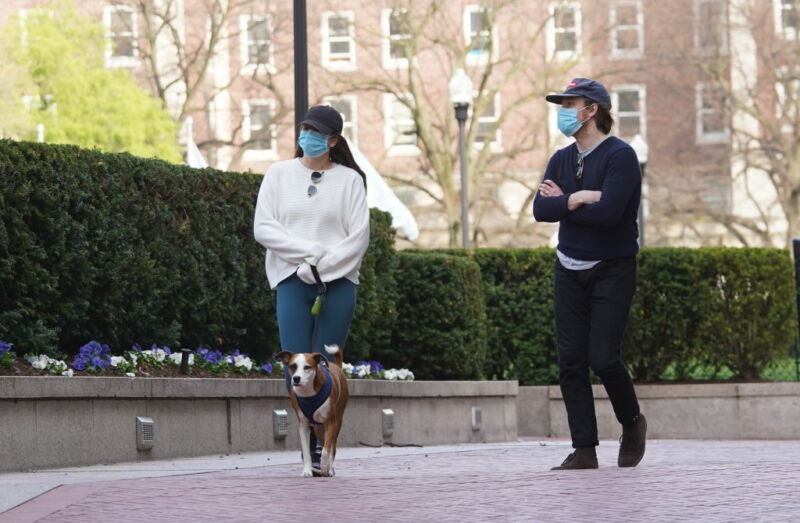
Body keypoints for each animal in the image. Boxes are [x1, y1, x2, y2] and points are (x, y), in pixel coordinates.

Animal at [276, 346, 348, 476]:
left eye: (307, 367)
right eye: (293, 366)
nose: (296, 378)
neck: (308, 393)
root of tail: (336, 366)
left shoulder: (331, 422)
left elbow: (326, 450)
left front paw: (324, 466)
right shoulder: (303, 425)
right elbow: (306, 451)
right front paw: (307, 471)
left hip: (338, 422)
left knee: (332, 448)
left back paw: (329, 468)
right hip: (318, 428)